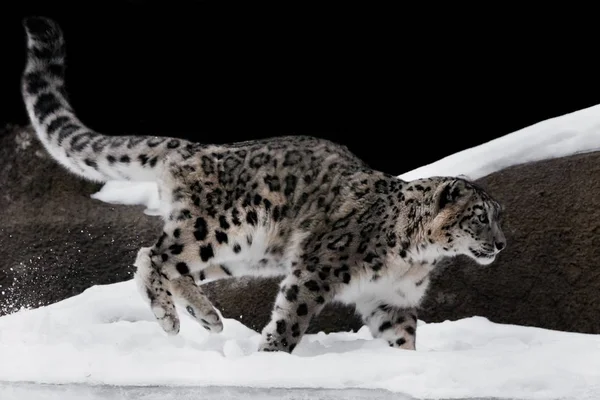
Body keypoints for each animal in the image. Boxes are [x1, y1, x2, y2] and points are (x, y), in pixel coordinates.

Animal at [19, 16, 506, 354]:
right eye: (479, 217)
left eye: (499, 216)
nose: (501, 244)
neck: (416, 256)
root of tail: (195, 148)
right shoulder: (316, 269)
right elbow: (292, 317)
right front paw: (272, 356)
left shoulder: (391, 300)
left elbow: (401, 338)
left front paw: (405, 365)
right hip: (220, 228)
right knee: (154, 256)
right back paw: (173, 319)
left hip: (244, 252)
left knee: (166, 264)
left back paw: (205, 317)